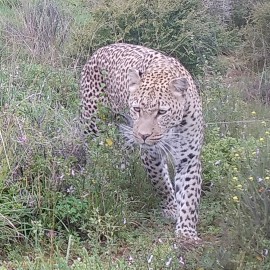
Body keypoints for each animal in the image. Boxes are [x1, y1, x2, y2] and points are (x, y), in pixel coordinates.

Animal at [81, 42, 204, 240]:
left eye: (161, 112)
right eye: (137, 109)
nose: (143, 135)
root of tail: (101, 49)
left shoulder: (189, 158)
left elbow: (190, 196)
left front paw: (186, 232)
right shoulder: (151, 154)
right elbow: (161, 182)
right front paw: (171, 209)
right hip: (93, 126)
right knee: (95, 158)